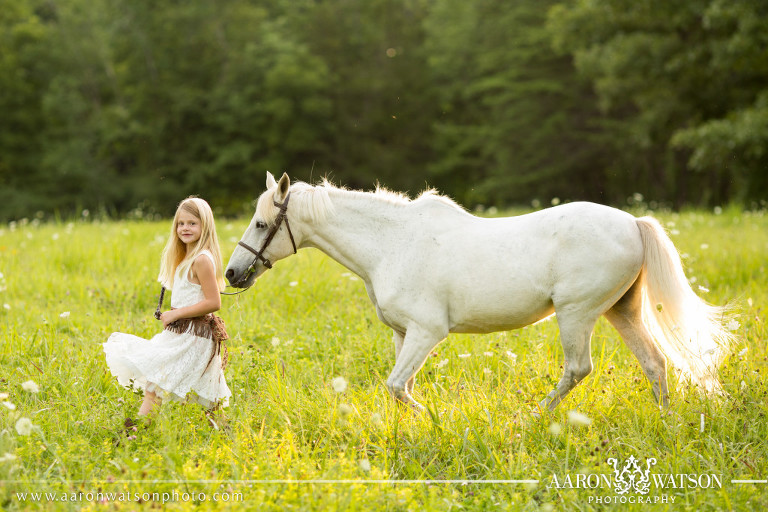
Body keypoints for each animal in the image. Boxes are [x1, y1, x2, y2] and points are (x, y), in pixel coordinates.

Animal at [224, 173, 732, 412]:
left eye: (263, 224)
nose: (232, 274)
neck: (391, 243)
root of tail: (632, 222)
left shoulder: (428, 332)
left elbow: (398, 386)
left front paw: (434, 418)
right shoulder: (402, 334)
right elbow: (401, 386)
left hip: (577, 314)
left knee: (578, 369)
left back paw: (531, 417)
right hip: (621, 311)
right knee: (654, 363)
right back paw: (666, 420)